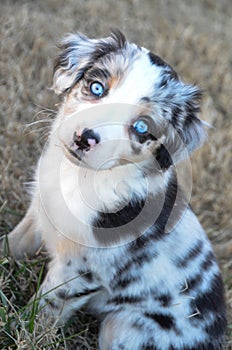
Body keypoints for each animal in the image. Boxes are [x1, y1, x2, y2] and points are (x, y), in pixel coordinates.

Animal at [0, 30, 226, 350]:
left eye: (142, 128)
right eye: (96, 88)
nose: (84, 139)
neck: (80, 177)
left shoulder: (81, 269)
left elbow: (46, 308)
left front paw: (21, 329)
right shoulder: (37, 213)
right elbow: (11, 243)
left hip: (123, 327)